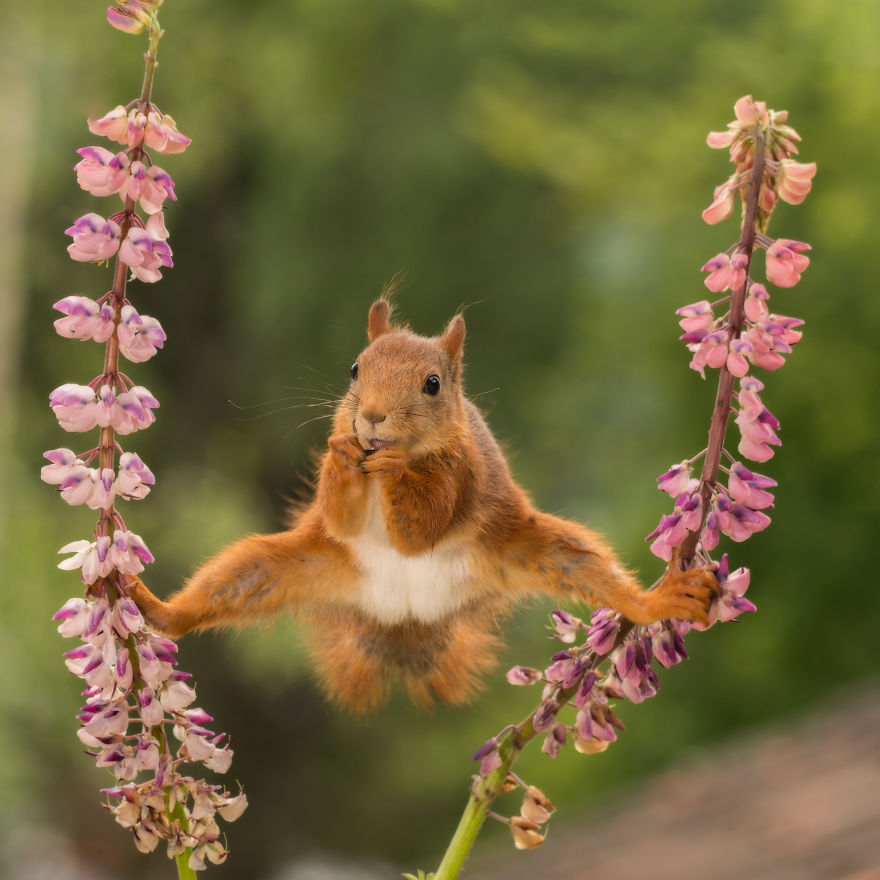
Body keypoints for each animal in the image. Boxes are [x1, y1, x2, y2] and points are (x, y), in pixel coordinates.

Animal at [129, 299, 718, 712]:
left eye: (432, 384)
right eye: (354, 369)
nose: (370, 417)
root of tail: (405, 616)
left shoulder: (460, 475)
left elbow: (421, 529)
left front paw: (393, 470)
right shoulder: (339, 512)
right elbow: (342, 517)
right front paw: (343, 453)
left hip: (534, 549)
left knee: (593, 572)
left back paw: (659, 600)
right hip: (289, 565)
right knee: (222, 588)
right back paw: (153, 606)